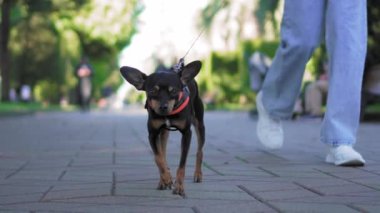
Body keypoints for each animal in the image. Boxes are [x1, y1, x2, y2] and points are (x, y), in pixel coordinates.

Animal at [121, 60, 205, 196]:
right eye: (152, 91)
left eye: (174, 91)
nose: (163, 107)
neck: (168, 115)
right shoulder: (152, 134)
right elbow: (158, 158)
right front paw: (166, 178)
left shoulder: (187, 133)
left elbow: (182, 164)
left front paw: (179, 186)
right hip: (164, 133)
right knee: (163, 152)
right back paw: (163, 180)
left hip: (199, 123)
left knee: (199, 151)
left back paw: (198, 174)